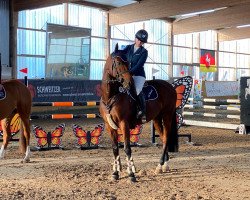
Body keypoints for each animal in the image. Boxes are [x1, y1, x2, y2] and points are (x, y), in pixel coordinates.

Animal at [98, 44, 179, 182]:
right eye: (118, 62)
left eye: (127, 63)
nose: (129, 82)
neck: (110, 97)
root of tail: (170, 86)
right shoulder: (110, 126)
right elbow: (115, 149)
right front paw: (115, 174)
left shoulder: (124, 124)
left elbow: (127, 148)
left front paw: (131, 175)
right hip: (157, 119)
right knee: (163, 137)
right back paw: (164, 166)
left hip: (167, 116)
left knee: (166, 137)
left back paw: (160, 165)